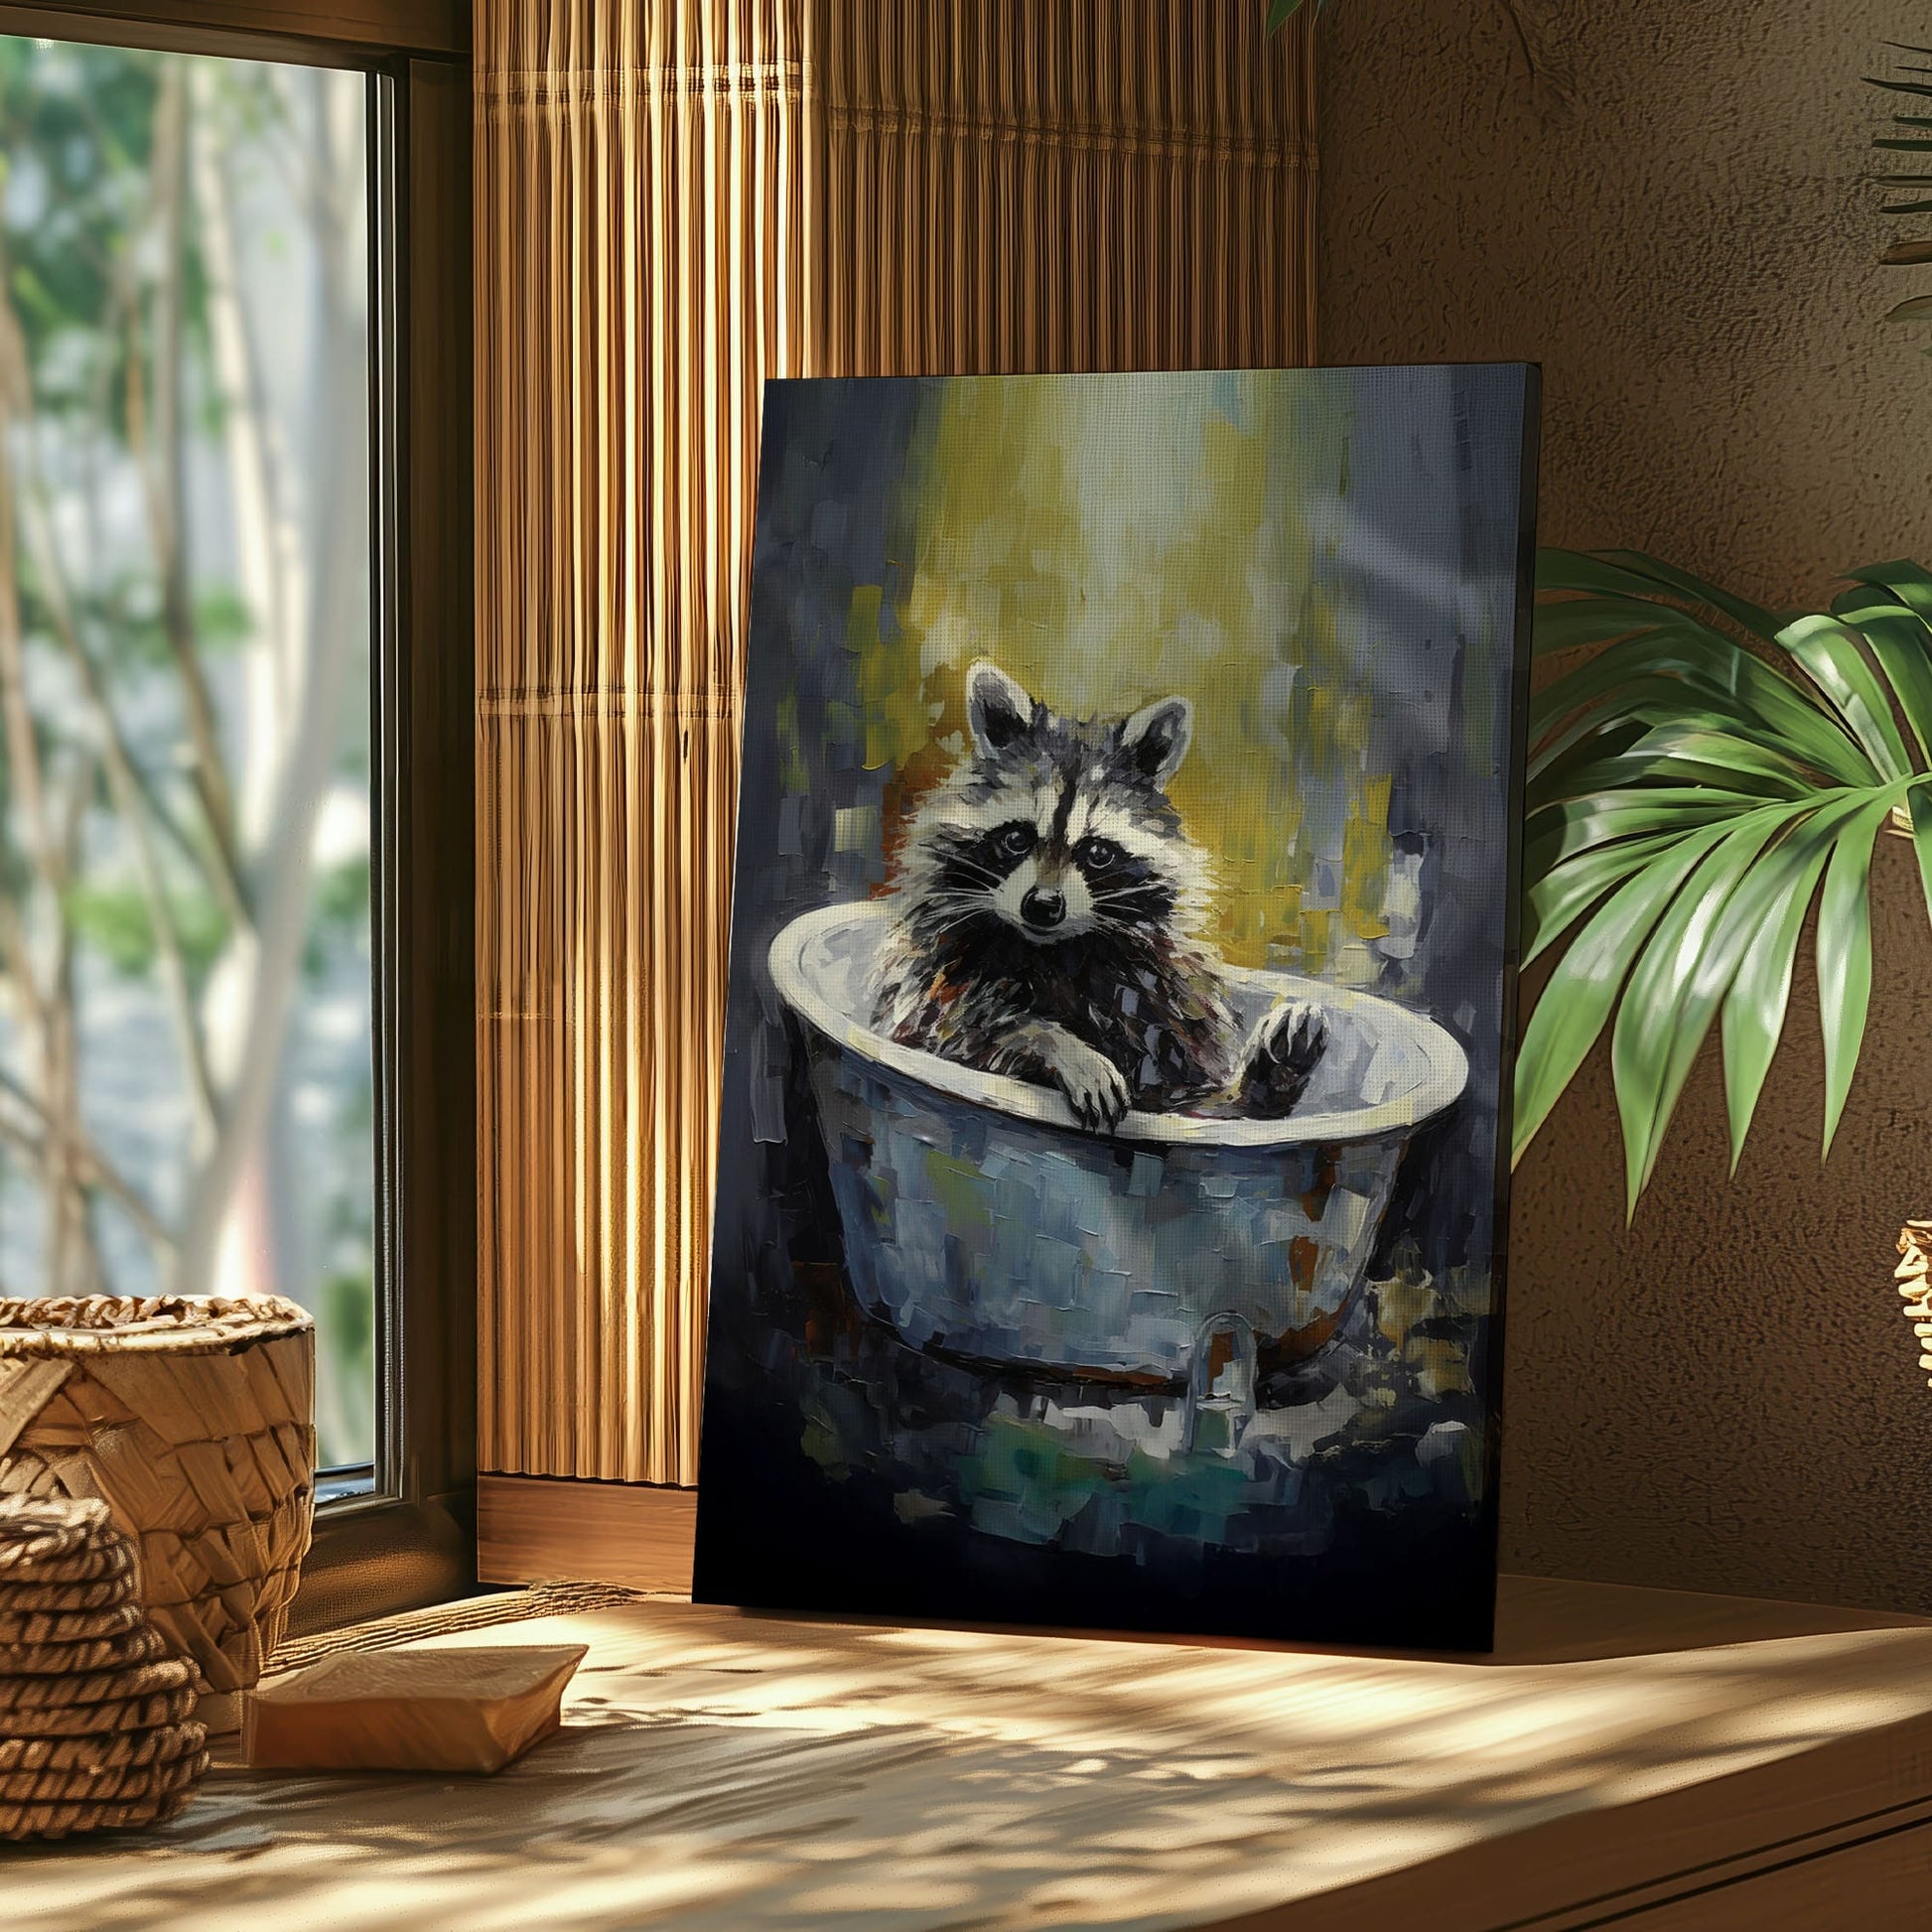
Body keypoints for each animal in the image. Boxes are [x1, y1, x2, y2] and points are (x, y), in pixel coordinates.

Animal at [872, 660, 1327, 1132]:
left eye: (1097, 852)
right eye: (1016, 838)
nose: (1043, 905)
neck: (1057, 953)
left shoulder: (1163, 1007)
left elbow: (1192, 1099)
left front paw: (1267, 1077)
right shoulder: (935, 978)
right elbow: (961, 1032)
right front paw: (1059, 1045)